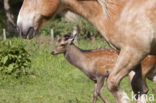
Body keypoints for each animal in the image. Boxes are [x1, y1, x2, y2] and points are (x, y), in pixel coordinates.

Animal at [17, 0, 156, 103]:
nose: (20, 28)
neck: (120, 11)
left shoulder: (133, 52)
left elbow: (113, 86)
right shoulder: (132, 60)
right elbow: (138, 90)